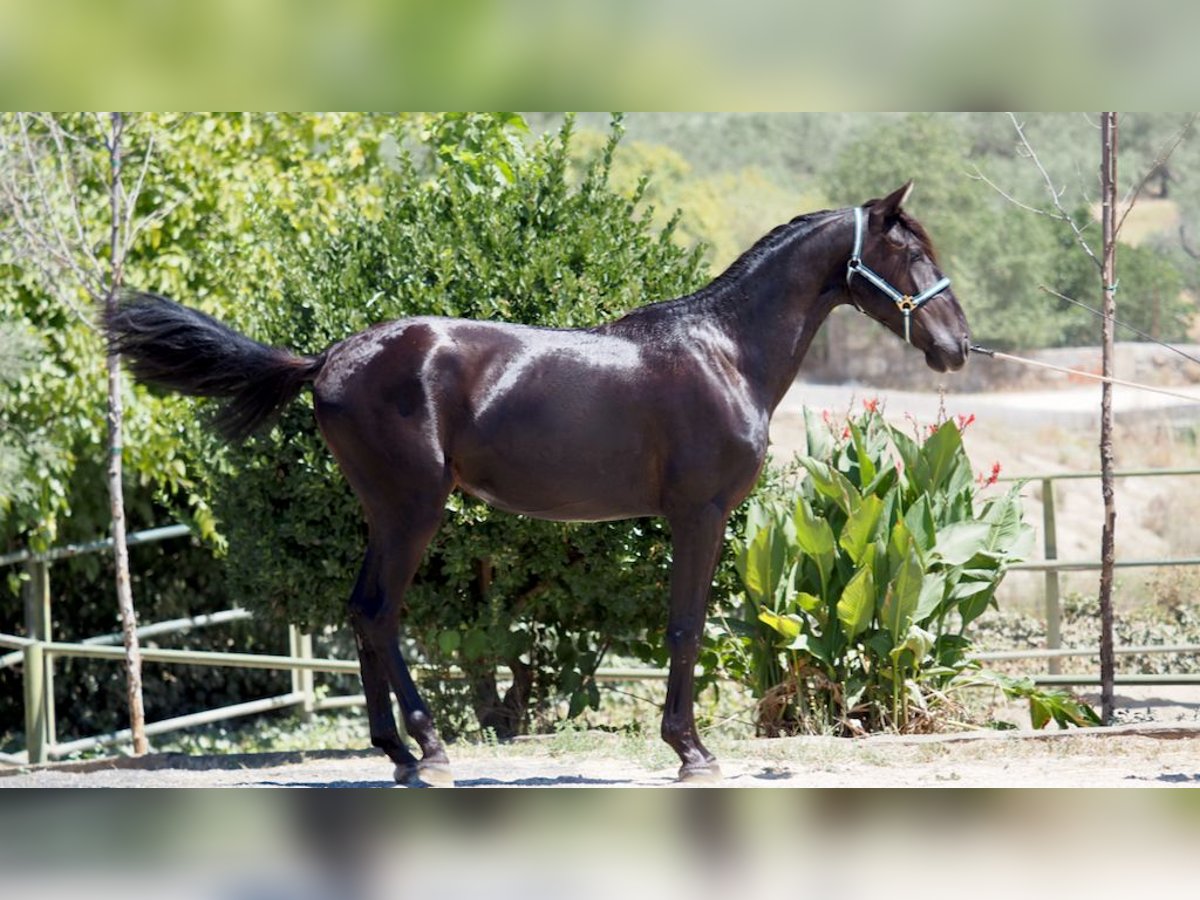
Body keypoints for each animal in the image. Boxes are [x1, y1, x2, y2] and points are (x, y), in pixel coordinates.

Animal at [103, 181, 964, 782]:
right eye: (912, 254)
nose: (958, 345)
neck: (723, 350)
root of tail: (331, 358)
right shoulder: (700, 514)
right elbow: (684, 628)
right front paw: (691, 752)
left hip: (385, 513)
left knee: (361, 612)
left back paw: (398, 753)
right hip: (413, 509)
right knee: (380, 615)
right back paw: (430, 751)